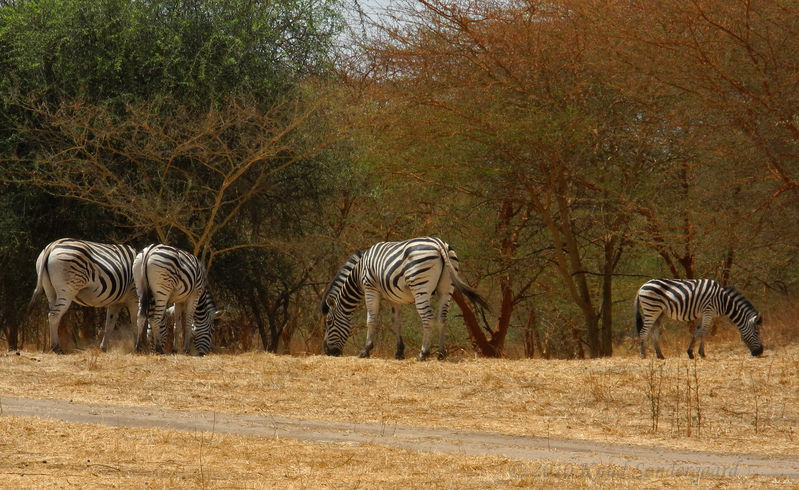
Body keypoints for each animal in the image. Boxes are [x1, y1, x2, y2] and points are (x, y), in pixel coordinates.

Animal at [320, 235, 488, 362]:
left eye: (329, 322)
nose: (327, 351)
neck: (358, 273)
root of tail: (439, 243)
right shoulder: (394, 297)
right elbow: (396, 322)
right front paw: (399, 352)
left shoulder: (370, 288)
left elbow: (371, 319)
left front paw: (365, 351)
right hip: (446, 288)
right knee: (442, 317)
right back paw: (440, 353)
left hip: (420, 286)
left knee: (427, 317)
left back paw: (423, 353)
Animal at [636, 280, 764, 360]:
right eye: (757, 332)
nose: (760, 352)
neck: (723, 301)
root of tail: (642, 286)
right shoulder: (708, 311)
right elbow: (704, 331)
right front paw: (702, 353)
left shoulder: (703, 313)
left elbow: (697, 331)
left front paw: (690, 353)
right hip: (651, 309)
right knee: (643, 331)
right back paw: (643, 355)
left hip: (659, 312)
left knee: (654, 332)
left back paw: (660, 355)